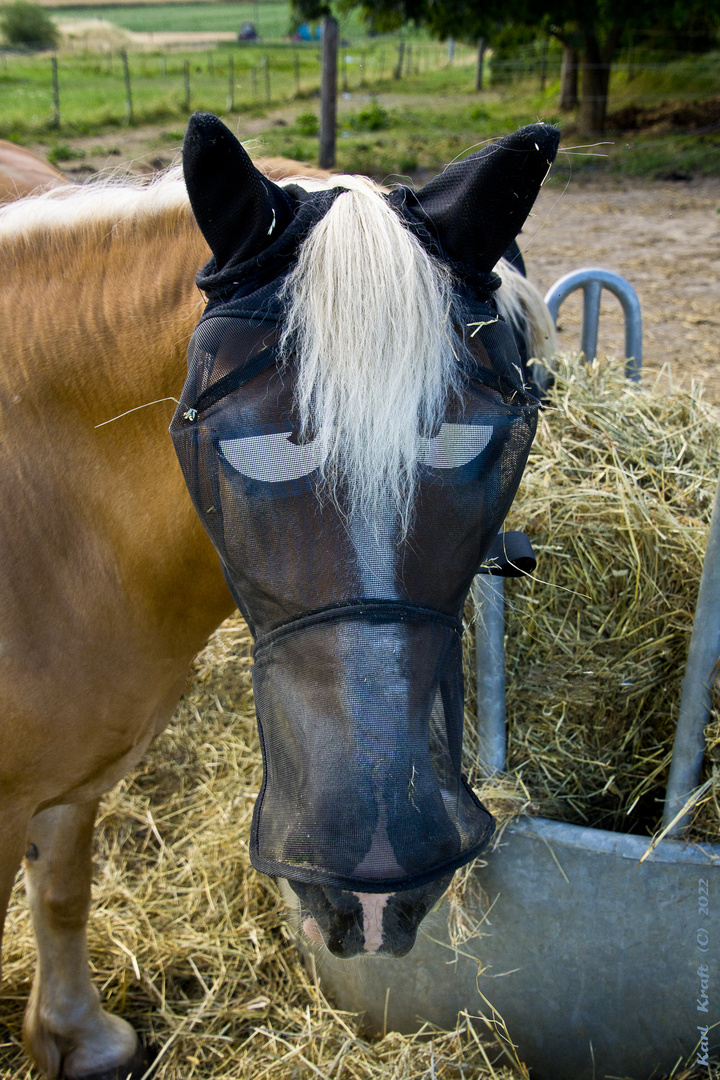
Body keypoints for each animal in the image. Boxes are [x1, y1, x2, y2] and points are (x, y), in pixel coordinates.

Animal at [0, 118, 561, 1080]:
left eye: (494, 429)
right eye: (247, 442)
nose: (374, 886)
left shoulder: (68, 780)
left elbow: (65, 889)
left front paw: (78, 1037)